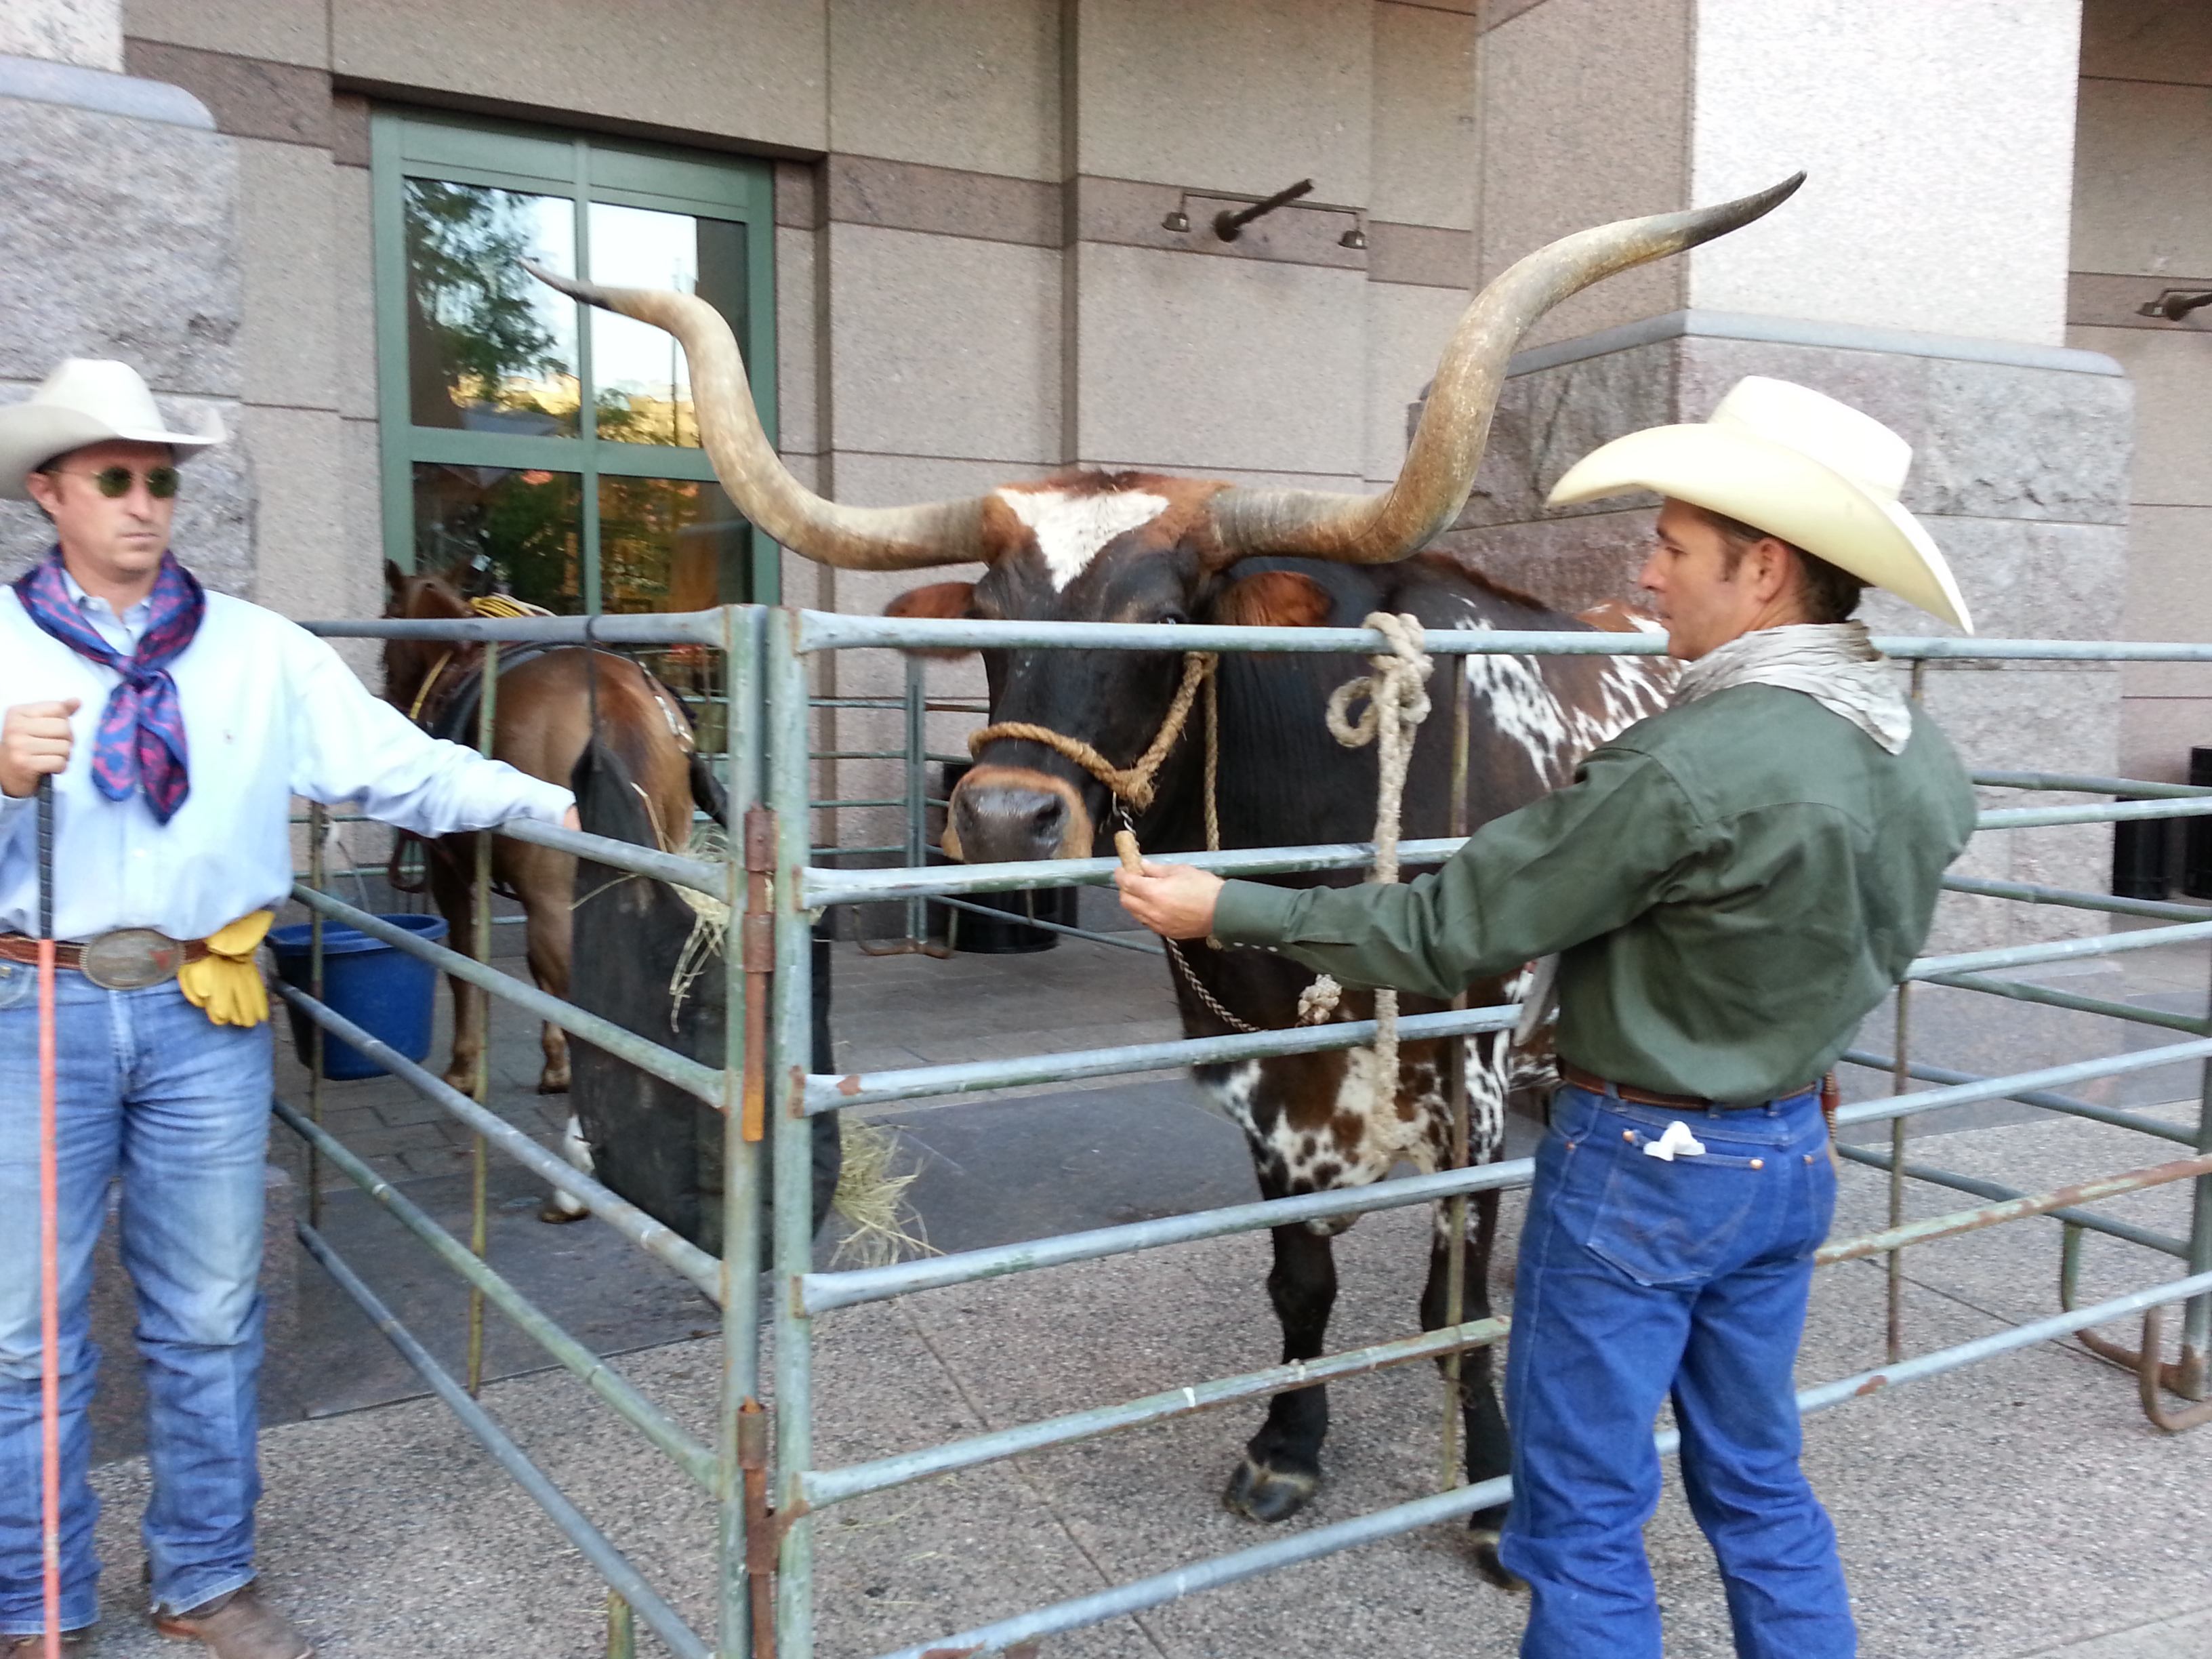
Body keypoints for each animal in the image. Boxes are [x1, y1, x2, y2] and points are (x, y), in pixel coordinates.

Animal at [380, 566, 708, 1110]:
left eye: (388, 628)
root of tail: (613, 696)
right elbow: (536, 975)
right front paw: (556, 1066)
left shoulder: (452, 874)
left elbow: (464, 961)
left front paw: (463, 1070)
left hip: (555, 896)